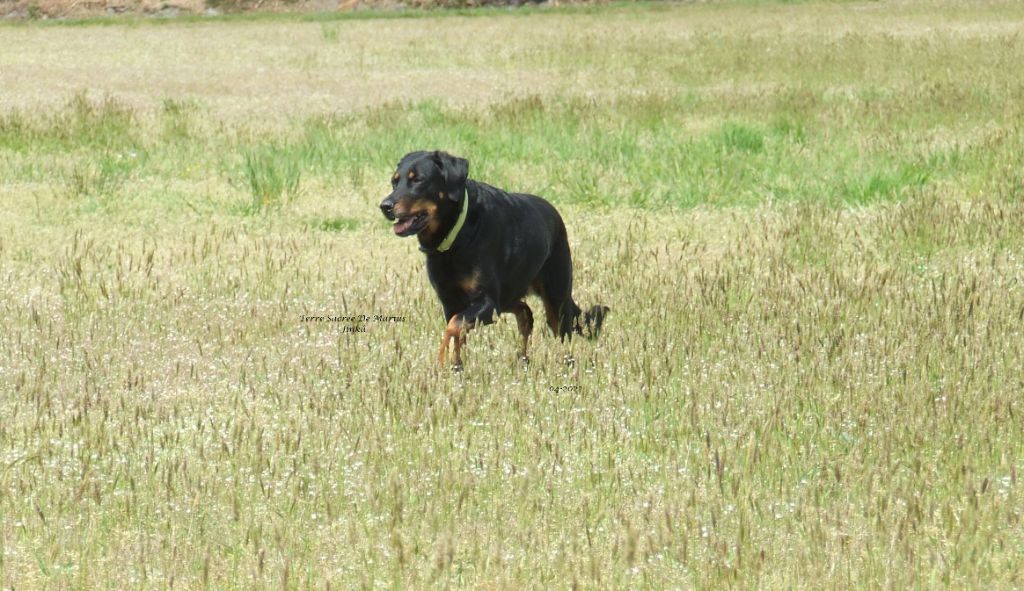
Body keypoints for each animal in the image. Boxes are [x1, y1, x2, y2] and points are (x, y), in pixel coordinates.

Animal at [379, 150, 608, 367]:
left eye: (418, 179)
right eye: (394, 181)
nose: (385, 205)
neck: (456, 237)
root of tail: (554, 215)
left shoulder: (486, 301)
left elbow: (453, 326)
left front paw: (442, 359)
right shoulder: (451, 301)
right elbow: (456, 331)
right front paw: (455, 368)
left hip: (555, 296)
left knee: (562, 330)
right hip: (509, 295)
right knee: (525, 313)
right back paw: (523, 359)